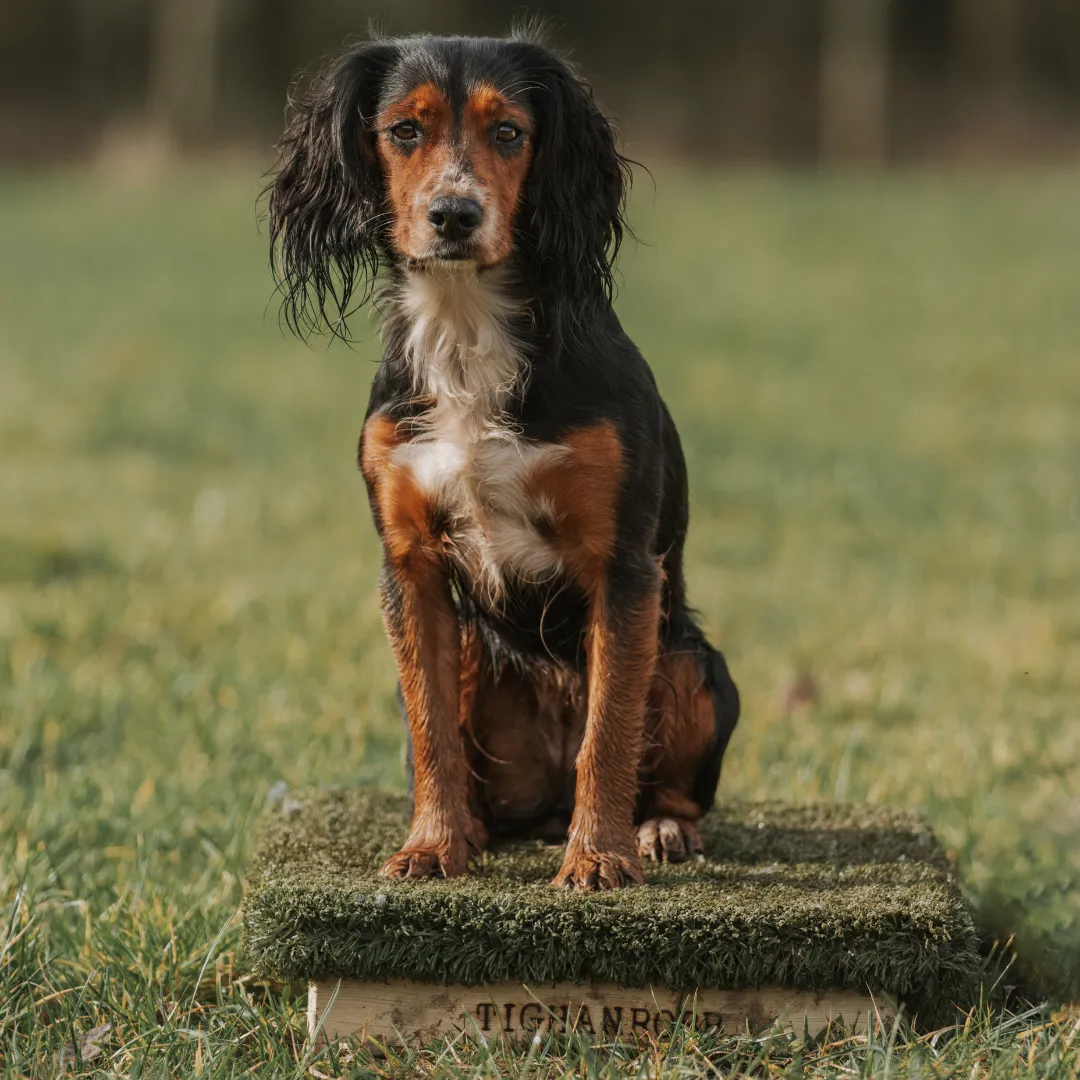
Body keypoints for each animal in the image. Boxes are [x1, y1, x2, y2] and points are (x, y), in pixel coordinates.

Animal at [270, 31, 743, 894]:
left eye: (509, 133)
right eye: (404, 131)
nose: (454, 214)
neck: (467, 334)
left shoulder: (624, 567)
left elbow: (609, 731)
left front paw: (599, 857)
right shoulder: (411, 567)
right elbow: (433, 731)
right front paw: (432, 845)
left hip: (692, 659)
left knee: (665, 780)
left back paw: (656, 828)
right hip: (473, 648)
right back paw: (478, 830)